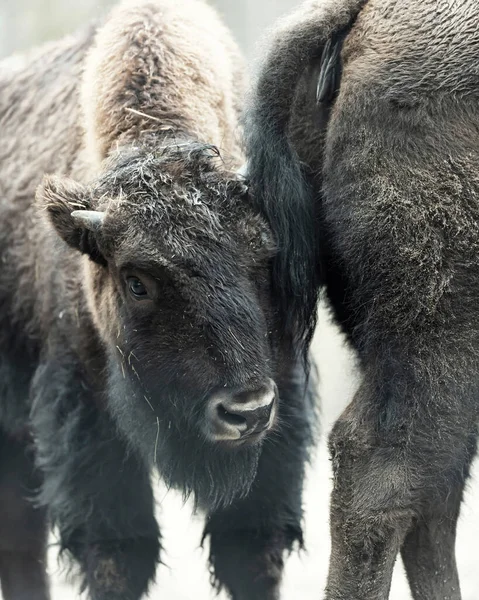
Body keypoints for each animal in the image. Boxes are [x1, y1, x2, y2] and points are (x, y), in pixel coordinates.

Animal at [0, 1, 316, 600]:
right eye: (137, 281)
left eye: (264, 260)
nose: (244, 411)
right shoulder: (87, 425)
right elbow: (118, 556)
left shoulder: (281, 410)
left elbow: (251, 550)